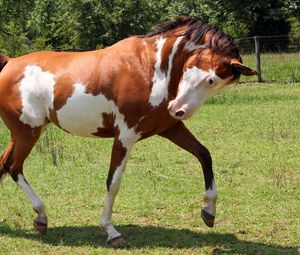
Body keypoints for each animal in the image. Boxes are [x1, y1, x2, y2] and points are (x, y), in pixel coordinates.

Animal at [0, 16, 258, 247]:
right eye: (210, 79)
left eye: (218, 83)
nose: (178, 110)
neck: (150, 68)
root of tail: (9, 62)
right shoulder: (125, 136)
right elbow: (113, 182)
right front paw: (111, 232)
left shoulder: (170, 128)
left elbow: (204, 154)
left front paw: (209, 213)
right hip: (27, 133)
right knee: (13, 167)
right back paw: (41, 216)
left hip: (24, 133)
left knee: (4, 165)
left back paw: (36, 220)